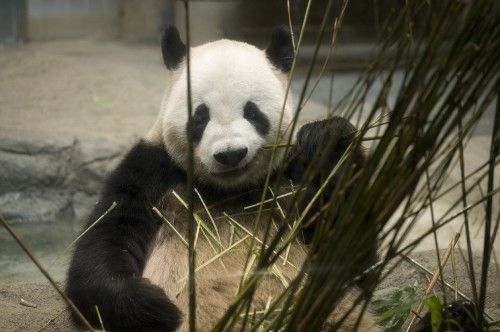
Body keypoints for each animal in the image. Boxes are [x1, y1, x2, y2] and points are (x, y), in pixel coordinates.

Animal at [66, 24, 378, 330]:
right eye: (200, 116)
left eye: (252, 112)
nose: (231, 154)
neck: (232, 190)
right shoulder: (152, 172)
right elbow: (105, 243)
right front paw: (154, 307)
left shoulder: (290, 177)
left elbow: (353, 259)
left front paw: (328, 140)